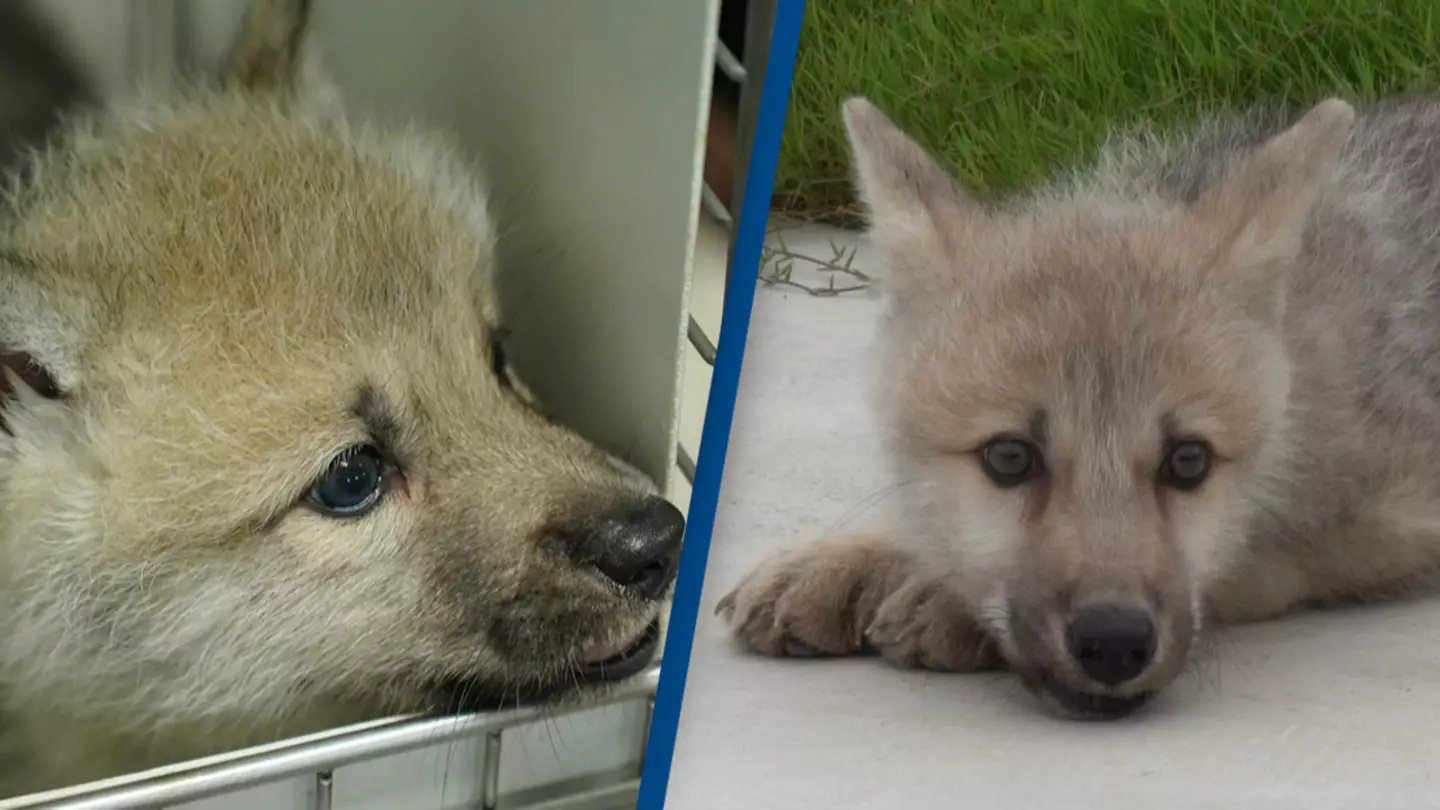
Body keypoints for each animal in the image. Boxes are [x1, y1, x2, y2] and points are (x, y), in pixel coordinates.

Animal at [720, 90, 1440, 720]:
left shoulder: (1391, 516)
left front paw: (940, 594)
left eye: (1188, 462)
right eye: (1009, 458)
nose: (1114, 644)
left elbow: (1260, 554)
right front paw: (852, 558)